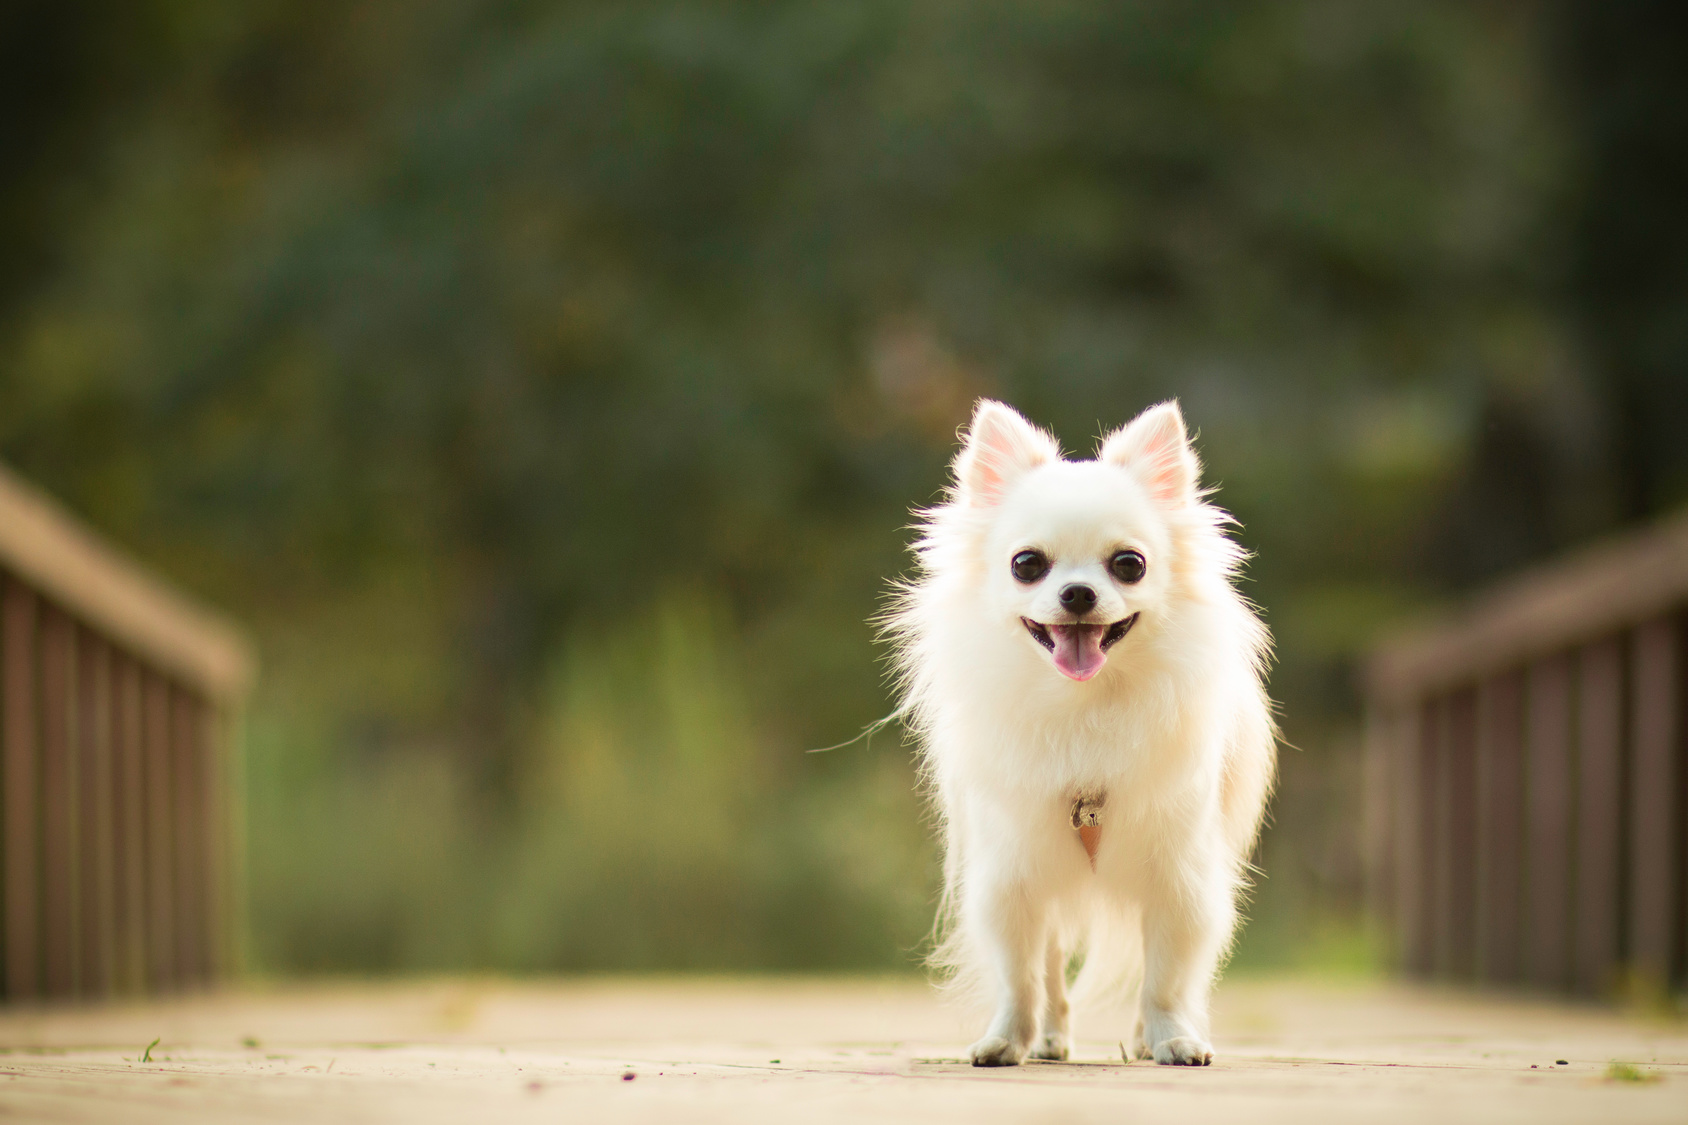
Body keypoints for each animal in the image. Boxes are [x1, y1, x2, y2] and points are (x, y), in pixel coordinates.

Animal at [891, 398, 1269, 1067]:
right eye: (1027, 565)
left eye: (1129, 565)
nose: (1077, 593)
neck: (1084, 705)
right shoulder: (1011, 876)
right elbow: (1020, 975)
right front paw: (1007, 1038)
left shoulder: (1180, 877)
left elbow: (1166, 976)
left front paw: (1173, 1037)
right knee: (1047, 968)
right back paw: (1047, 1039)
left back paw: (1145, 1040)